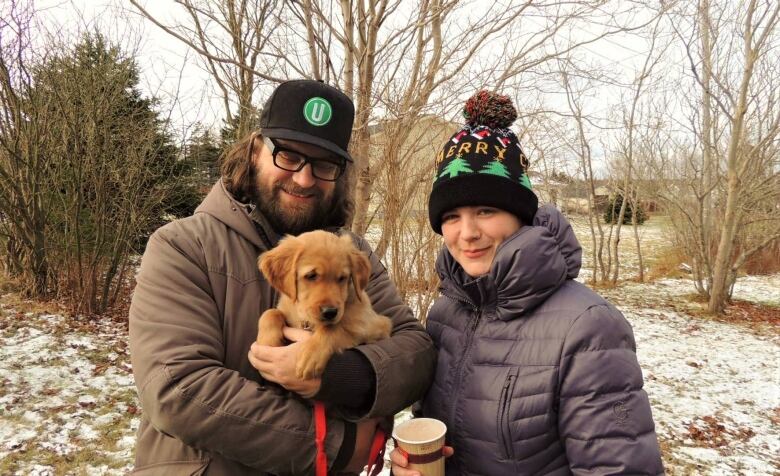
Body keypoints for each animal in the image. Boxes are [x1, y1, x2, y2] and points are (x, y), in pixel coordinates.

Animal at [258, 231, 394, 380]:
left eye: (342, 278)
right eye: (311, 275)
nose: (330, 312)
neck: (306, 319)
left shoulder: (375, 325)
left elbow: (333, 328)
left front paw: (312, 354)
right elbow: (271, 312)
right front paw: (267, 341)